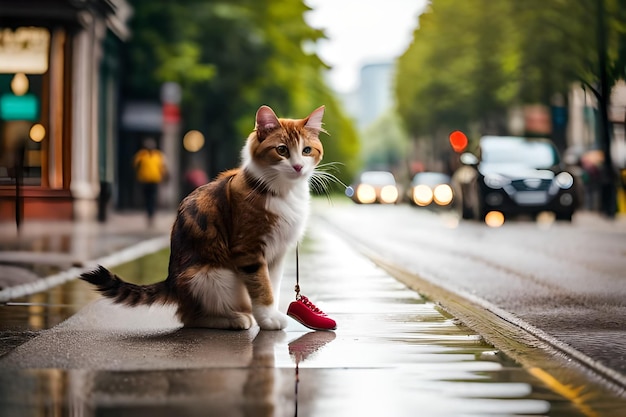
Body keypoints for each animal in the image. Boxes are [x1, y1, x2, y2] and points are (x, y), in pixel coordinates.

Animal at [81, 105, 326, 330]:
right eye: (282, 150)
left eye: (306, 150)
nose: (298, 167)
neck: (283, 191)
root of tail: (171, 282)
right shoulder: (249, 249)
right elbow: (261, 286)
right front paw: (267, 319)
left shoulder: (277, 253)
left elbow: (271, 285)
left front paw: (269, 314)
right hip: (214, 277)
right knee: (188, 317)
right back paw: (235, 319)